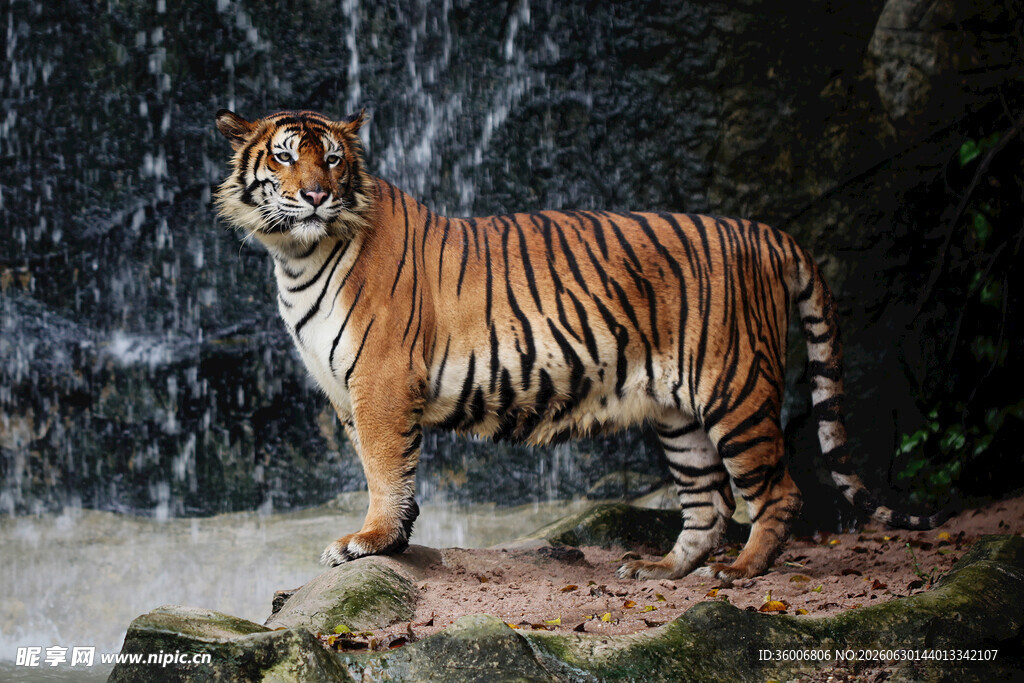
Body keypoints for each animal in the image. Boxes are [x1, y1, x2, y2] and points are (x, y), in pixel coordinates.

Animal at [214, 108, 943, 583]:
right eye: (285, 154)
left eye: (334, 158)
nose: (316, 195)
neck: (297, 255)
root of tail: (765, 231)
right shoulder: (348, 392)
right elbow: (386, 468)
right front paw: (394, 540)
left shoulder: (382, 381)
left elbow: (385, 470)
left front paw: (369, 542)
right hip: (679, 415)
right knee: (707, 503)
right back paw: (662, 569)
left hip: (735, 391)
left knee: (777, 492)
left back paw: (740, 570)